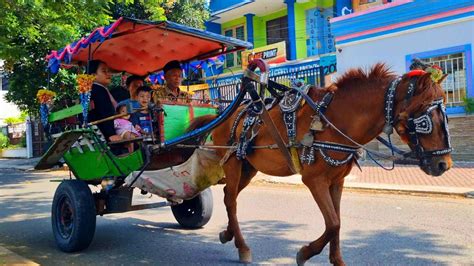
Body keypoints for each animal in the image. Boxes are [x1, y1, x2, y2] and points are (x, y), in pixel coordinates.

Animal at [188, 63, 452, 264]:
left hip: (248, 168)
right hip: (232, 164)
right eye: (424, 118)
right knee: (231, 201)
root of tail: (224, 114)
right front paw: (305, 253)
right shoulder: (314, 180)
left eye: (445, 115)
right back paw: (242, 247)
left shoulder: (337, 181)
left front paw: (337, 260)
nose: (444, 165)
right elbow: (333, 223)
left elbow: (337, 221)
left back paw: (228, 234)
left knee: (227, 194)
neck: (335, 120)